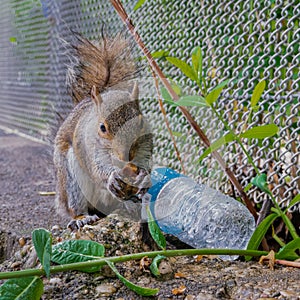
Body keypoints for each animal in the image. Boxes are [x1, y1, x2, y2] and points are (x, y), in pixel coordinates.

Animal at [52, 32, 154, 230]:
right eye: (102, 128)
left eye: (140, 122)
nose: (125, 156)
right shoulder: (87, 148)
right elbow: (97, 169)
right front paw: (111, 177)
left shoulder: (145, 146)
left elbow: (145, 161)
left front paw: (144, 176)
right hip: (70, 179)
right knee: (75, 205)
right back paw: (81, 218)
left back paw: (133, 201)